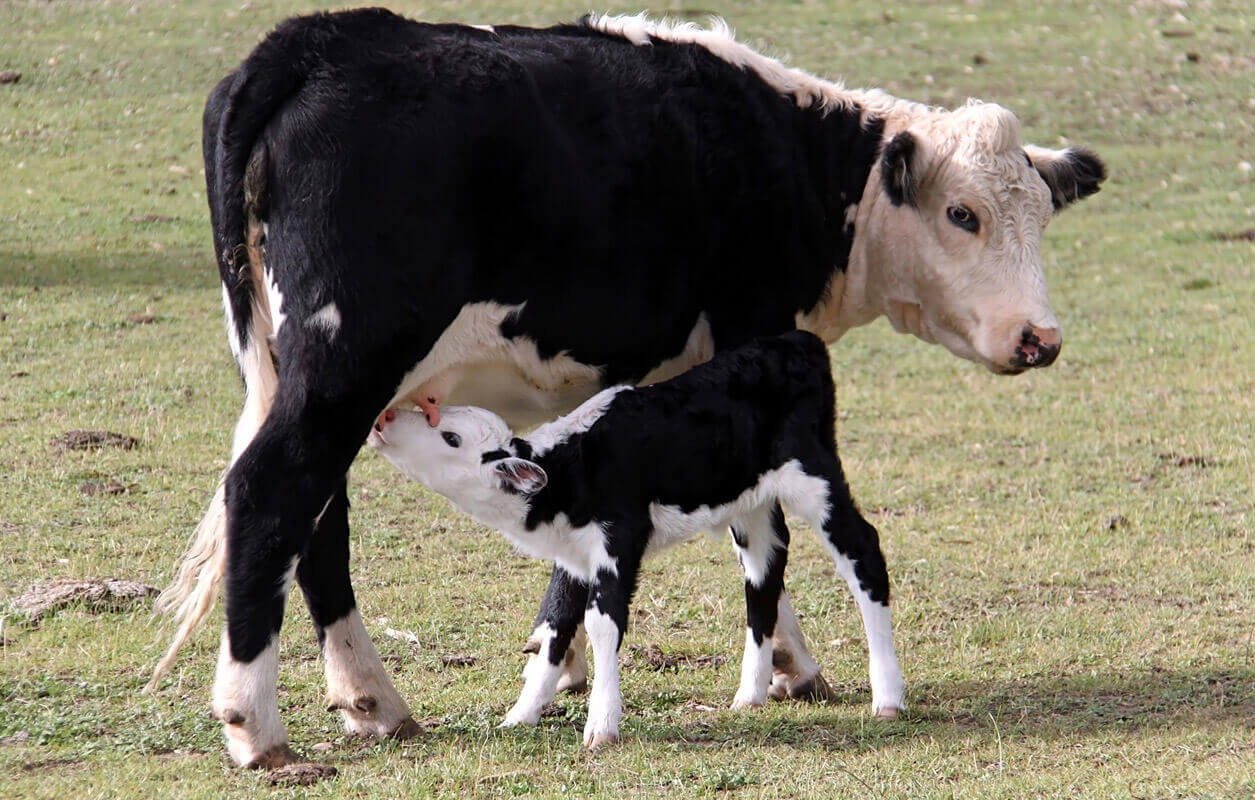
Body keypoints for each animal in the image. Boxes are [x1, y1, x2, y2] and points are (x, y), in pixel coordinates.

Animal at [366, 326, 898, 743]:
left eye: (451, 438)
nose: (384, 417)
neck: (571, 470)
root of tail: (797, 341)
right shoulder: (574, 555)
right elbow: (556, 626)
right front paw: (521, 715)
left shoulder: (618, 541)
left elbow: (602, 624)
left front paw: (601, 725)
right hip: (752, 506)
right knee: (764, 573)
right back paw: (749, 695)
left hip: (815, 476)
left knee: (863, 550)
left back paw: (888, 695)